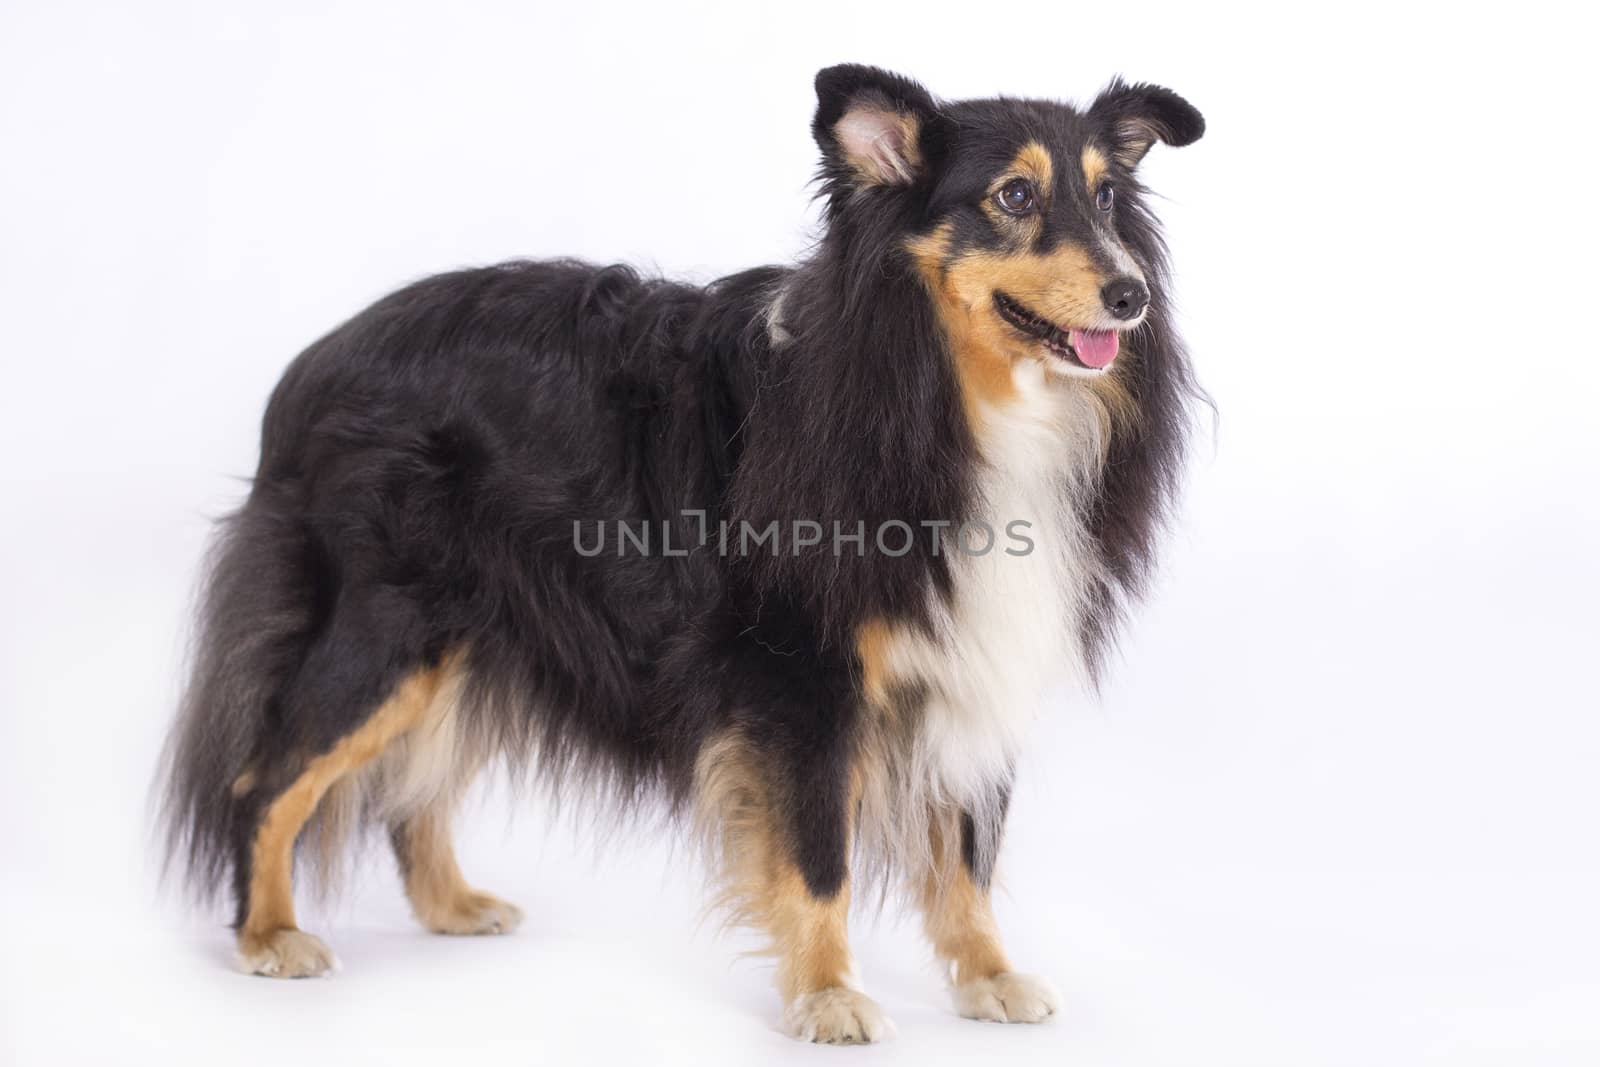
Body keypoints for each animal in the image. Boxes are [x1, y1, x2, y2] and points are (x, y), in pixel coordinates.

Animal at [159, 64, 1203, 1043]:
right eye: (1014, 197)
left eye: (1108, 197)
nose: (1133, 294)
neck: (943, 387)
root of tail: (310, 369)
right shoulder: (798, 673)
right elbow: (818, 855)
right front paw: (829, 996)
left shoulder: (975, 651)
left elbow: (968, 848)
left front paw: (990, 977)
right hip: (387, 624)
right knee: (266, 777)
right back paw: (270, 934)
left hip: (481, 630)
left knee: (413, 783)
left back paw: (451, 904)